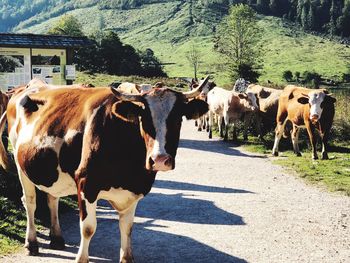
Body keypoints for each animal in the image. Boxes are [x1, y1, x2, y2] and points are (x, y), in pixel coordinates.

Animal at [0, 77, 209, 262]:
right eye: (144, 118)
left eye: (178, 119)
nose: (159, 159)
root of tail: (27, 87)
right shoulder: (86, 184)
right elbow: (88, 228)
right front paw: (81, 258)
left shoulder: (134, 190)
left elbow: (127, 227)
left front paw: (126, 258)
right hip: (20, 165)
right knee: (30, 202)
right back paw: (32, 243)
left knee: (53, 199)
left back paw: (57, 238)